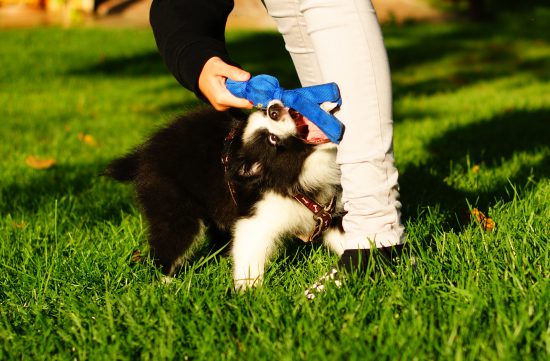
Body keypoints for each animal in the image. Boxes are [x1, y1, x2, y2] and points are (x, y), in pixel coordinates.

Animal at [107, 100, 348, 290]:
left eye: (265, 114)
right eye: (271, 139)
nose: (273, 109)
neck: (299, 174)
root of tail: (141, 157)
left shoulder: (328, 213)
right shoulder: (258, 217)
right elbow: (249, 254)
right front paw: (248, 293)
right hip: (173, 207)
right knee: (168, 241)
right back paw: (164, 281)